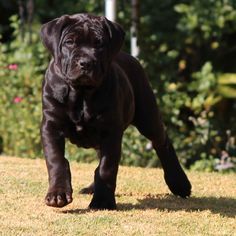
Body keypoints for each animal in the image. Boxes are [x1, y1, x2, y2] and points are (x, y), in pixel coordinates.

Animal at [41, 12, 192, 209]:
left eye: (99, 44)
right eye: (69, 42)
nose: (86, 63)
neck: (82, 93)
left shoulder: (110, 131)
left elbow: (107, 167)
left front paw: (103, 201)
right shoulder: (51, 126)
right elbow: (57, 160)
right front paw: (58, 194)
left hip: (147, 116)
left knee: (162, 142)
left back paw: (179, 183)